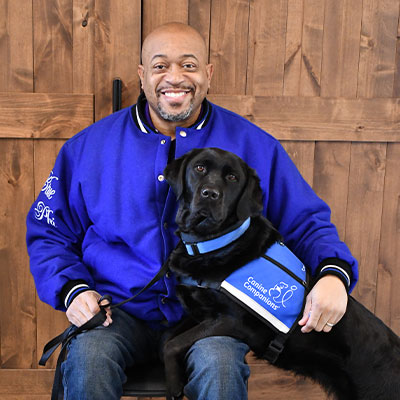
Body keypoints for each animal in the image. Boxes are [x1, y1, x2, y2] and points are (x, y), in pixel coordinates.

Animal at [162, 148, 400, 400]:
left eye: (232, 177)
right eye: (199, 168)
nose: (210, 194)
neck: (214, 244)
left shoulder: (231, 321)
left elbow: (172, 344)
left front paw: (174, 385)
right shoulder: (199, 312)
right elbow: (167, 337)